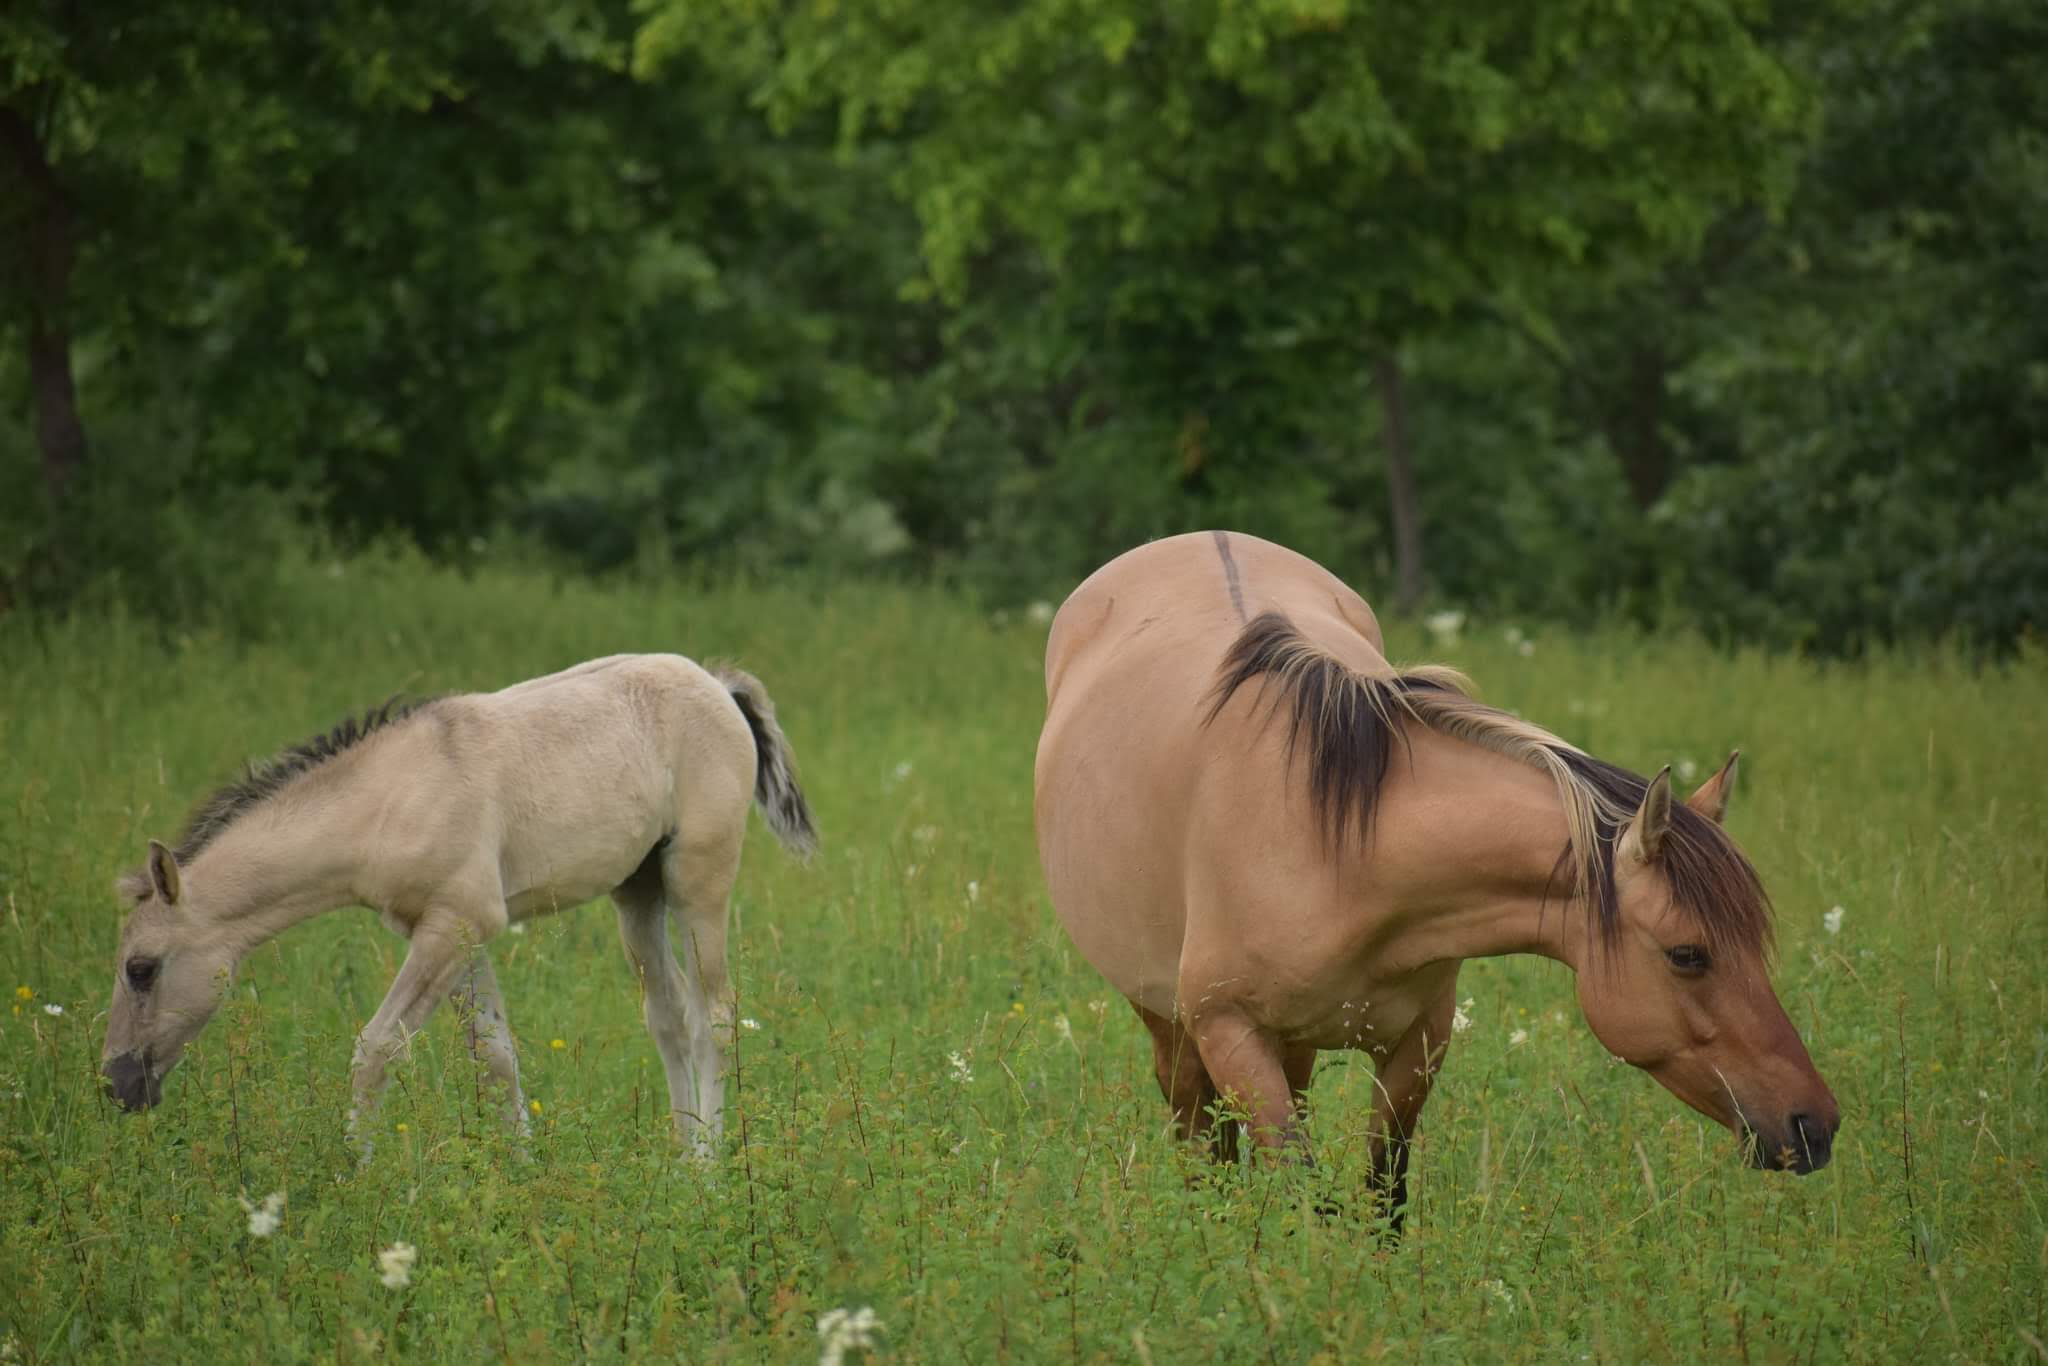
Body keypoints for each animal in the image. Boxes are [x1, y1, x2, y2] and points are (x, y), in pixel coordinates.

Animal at [99, 651, 811, 1155]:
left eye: (141, 968)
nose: (117, 1086)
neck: (387, 799)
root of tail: (715, 683)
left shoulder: (452, 927)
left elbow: (377, 1049)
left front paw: (351, 1176)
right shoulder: (458, 935)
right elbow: (496, 1058)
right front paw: (525, 1175)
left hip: (698, 881)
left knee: (714, 1018)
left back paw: (709, 1172)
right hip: (637, 894)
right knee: (669, 1018)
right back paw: (681, 1158)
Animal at [1040, 532, 1843, 1220]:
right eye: (1687, 954)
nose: (1814, 1124)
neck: (1334, 851)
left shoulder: (1416, 1046)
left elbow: (1380, 1194)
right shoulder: (1231, 1034)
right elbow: (1302, 1193)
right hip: (1172, 1026)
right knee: (1196, 1137)